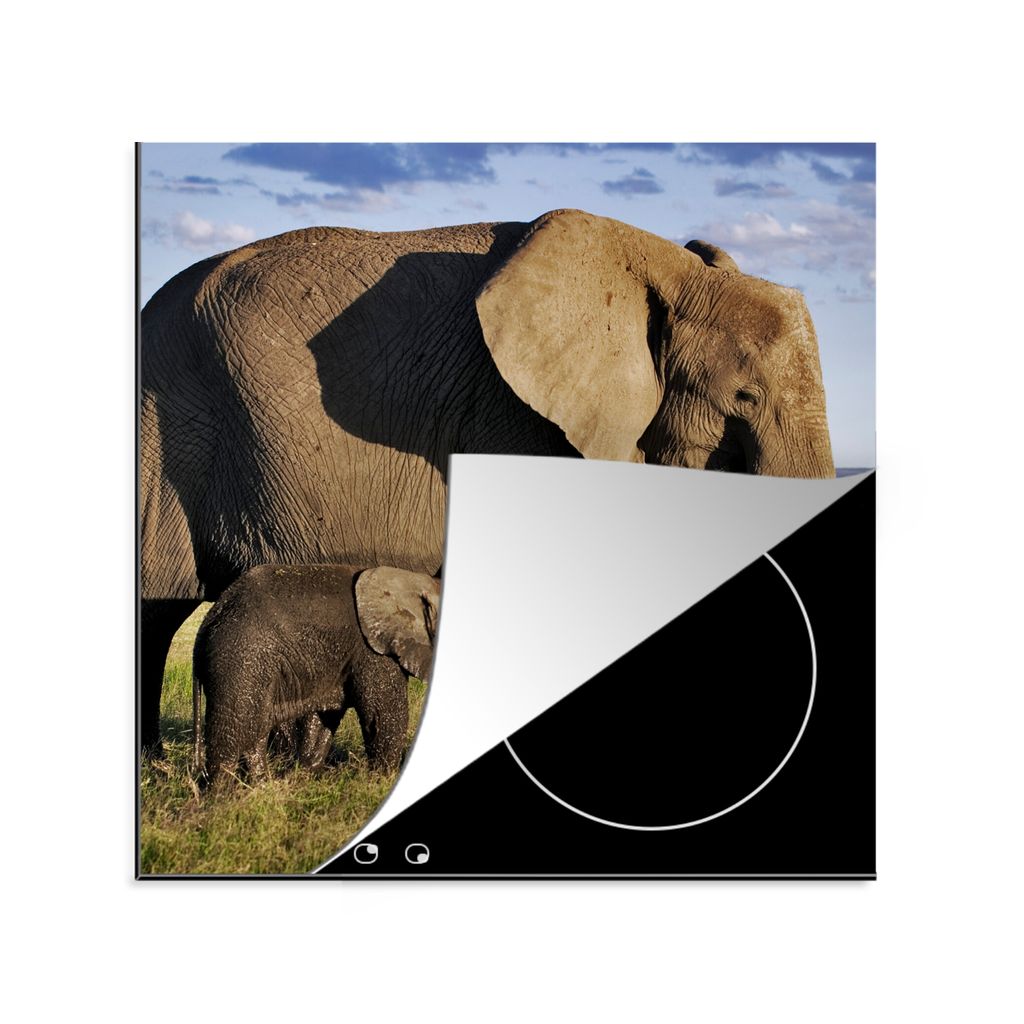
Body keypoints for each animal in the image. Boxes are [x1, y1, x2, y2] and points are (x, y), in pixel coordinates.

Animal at [192, 564, 441, 791]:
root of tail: (207, 622)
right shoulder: (373, 651)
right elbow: (385, 716)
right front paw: (382, 782)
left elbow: (324, 718)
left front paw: (304, 776)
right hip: (240, 660)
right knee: (233, 734)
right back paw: (221, 797)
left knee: (256, 730)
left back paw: (261, 788)